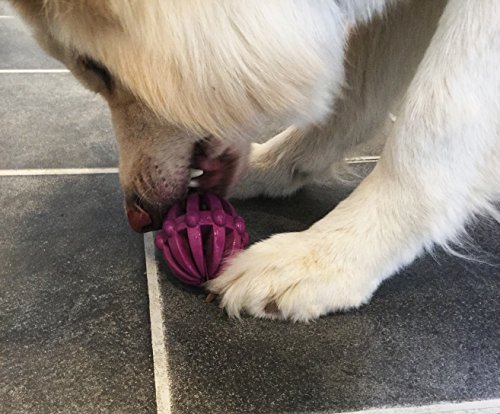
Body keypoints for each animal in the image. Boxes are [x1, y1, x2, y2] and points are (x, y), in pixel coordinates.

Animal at [10, 0, 500, 321]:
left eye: (97, 68)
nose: (137, 216)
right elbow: (354, 94)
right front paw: (277, 168)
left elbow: (435, 121)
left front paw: (328, 256)